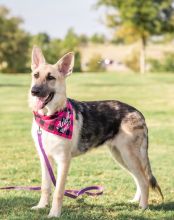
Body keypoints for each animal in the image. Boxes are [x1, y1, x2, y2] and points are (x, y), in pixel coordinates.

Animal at [28, 46, 163, 218]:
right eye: (36, 75)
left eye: (50, 77)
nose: (34, 91)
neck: (50, 116)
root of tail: (138, 112)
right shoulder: (45, 159)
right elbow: (45, 187)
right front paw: (41, 206)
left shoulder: (63, 161)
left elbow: (58, 191)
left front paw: (54, 213)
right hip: (121, 157)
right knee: (139, 179)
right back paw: (135, 201)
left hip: (128, 156)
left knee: (144, 181)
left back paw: (143, 208)